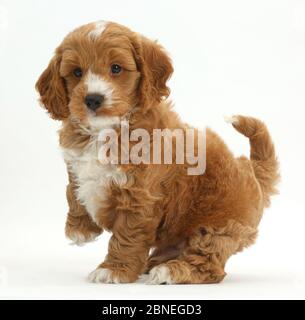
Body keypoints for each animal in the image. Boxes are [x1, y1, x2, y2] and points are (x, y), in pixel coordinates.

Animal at [35, 21, 278, 284]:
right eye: (77, 72)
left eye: (116, 68)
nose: (93, 99)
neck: (106, 131)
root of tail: (252, 172)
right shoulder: (75, 164)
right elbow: (73, 190)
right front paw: (80, 229)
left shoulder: (140, 197)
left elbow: (127, 235)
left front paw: (114, 270)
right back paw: (156, 263)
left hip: (218, 228)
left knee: (210, 265)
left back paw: (169, 271)